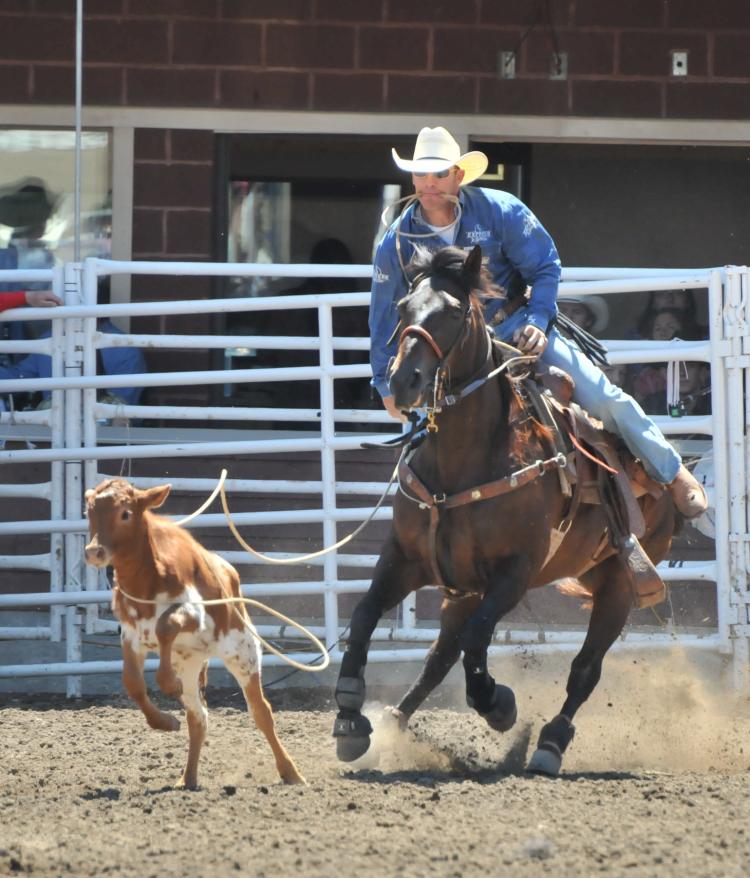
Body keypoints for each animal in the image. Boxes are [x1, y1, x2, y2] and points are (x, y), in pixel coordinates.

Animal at [83, 482, 304, 792]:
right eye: (89, 512)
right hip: (190, 664)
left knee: (261, 712)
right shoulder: (131, 635)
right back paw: (187, 778)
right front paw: (165, 722)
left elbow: (166, 625)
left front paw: (167, 684)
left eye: (125, 513)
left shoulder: (195, 614)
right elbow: (133, 684)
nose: (94, 552)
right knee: (198, 718)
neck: (148, 580)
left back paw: (291, 772)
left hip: (244, 653)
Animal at [334, 244, 676, 772]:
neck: (463, 462)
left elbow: (478, 641)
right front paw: (350, 717)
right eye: (402, 307)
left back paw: (549, 745)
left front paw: (498, 705)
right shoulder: (406, 558)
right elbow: (365, 614)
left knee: (584, 669)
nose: (404, 380)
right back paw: (394, 721)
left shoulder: (514, 572)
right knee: (439, 655)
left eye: (454, 312)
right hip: (465, 588)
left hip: (619, 584)